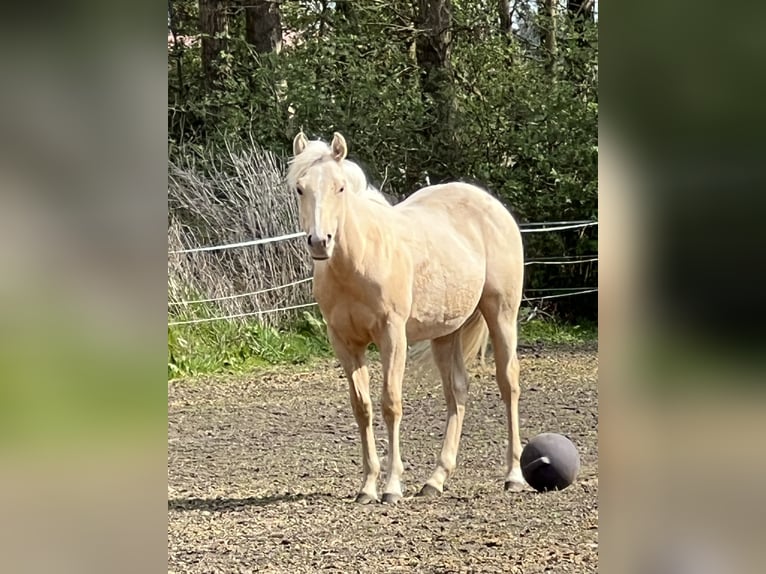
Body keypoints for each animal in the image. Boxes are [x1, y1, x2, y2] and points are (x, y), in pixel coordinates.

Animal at [287, 132, 525, 504]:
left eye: (340, 188)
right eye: (300, 188)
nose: (319, 242)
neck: (360, 259)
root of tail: (491, 205)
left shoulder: (392, 335)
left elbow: (391, 404)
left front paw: (392, 487)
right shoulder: (344, 343)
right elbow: (362, 407)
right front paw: (367, 487)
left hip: (501, 314)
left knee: (508, 382)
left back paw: (514, 476)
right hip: (446, 332)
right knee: (457, 392)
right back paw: (435, 480)